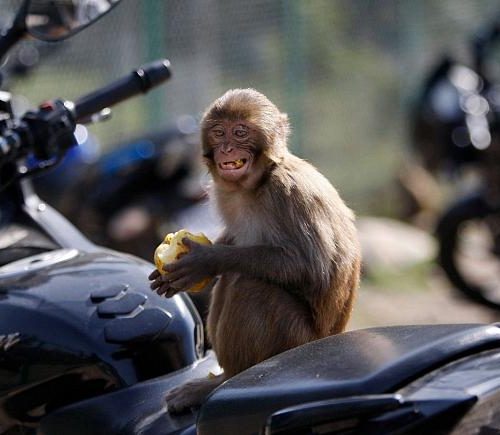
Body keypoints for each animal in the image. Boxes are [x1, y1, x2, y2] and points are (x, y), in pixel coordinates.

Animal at [146, 88, 362, 416]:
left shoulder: (288, 193)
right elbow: (234, 238)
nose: (226, 148)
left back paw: (223, 383)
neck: (258, 183)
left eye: (240, 132)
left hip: (294, 340)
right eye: (219, 132)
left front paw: (205, 261)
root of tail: (330, 339)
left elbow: (314, 268)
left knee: (249, 286)